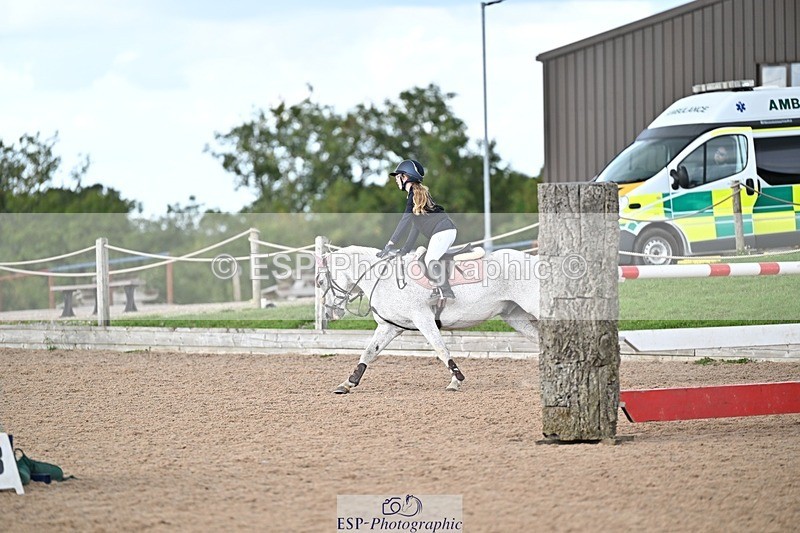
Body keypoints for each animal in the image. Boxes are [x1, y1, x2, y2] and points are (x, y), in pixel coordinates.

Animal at [316, 245, 541, 393]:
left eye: (320, 281)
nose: (330, 313)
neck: (384, 278)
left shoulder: (423, 319)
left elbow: (441, 349)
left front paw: (456, 381)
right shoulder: (389, 327)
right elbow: (369, 352)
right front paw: (348, 383)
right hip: (515, 317)